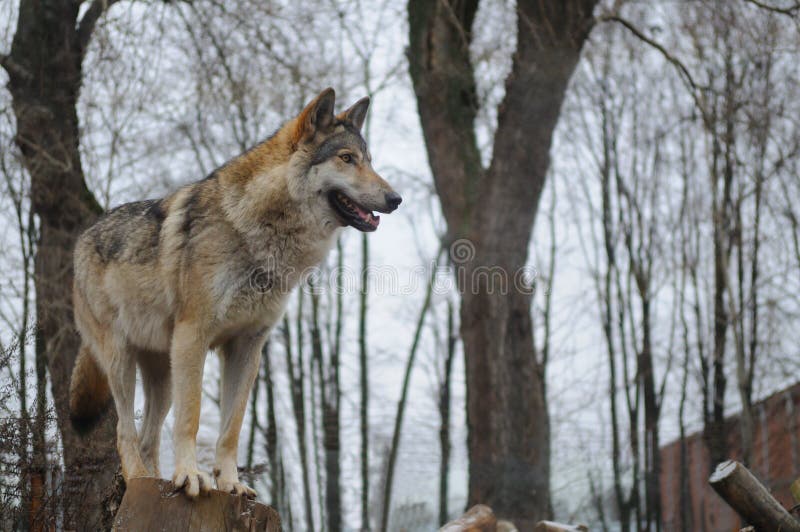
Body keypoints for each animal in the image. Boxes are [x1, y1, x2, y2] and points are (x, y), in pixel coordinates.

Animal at [68, 88, 400, 498]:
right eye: (347, 159)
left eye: (369, 162)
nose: (396, 199)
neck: (259, 231)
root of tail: (84, 237)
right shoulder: (193, 337)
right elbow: (192, 418)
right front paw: (191, 476)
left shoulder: (247, 346)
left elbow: (232, 427)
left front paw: (230, 483)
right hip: (123, 361)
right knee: (123, 432)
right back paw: (141, 480)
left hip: (163, 373)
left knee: (147, 437)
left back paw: (156, 480)